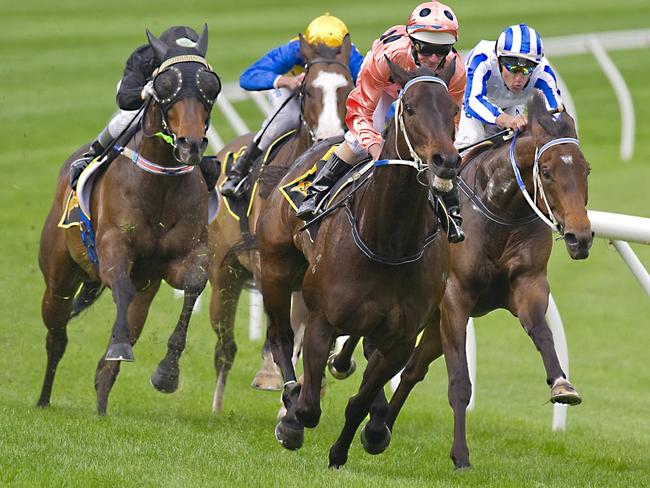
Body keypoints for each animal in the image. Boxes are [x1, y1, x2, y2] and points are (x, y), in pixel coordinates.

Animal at [37, 26, 220, 414]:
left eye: (210, 87)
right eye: (165, 85)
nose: (190, 145)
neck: (161, 181)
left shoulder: (179, 258)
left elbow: (194, 283)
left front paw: (167, 372)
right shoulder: (113, 247)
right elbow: (119, 285)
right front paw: (121, 346)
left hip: (146, 288)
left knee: (109, 360)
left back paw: (102, 406)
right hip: (58, 279)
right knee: (56, 337)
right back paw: (44, 398)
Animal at [206, 33, 352, 412]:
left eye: (346, 88)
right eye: (308, 90)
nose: (328, 135)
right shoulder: (266, 262)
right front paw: (272, 373)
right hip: (224, 273)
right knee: (224, 345)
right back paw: (216, 404)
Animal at [256, 59, 458, 468]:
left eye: (453, 110)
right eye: (409, 108)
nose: (445, 161)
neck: (389, 242)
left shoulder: (400, 338)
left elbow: (360, 402)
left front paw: (344, 449)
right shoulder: (323, 320)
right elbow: (309, 408)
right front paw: (292, 418)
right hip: (275, 269)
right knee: (281, 338)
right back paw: (290, 396)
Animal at [332, 92, 588, 468]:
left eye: (586, 170)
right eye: (546, 171)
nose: (580, 237)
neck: (500, 209)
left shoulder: (528, 284)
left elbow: (542, 332)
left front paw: (562, 385)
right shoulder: (455, 297)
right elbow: (459, 383)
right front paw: (461, 455)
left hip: (431, 319)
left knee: (410, 368)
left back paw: (378, 427)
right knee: (375, 347)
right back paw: (345, 369)